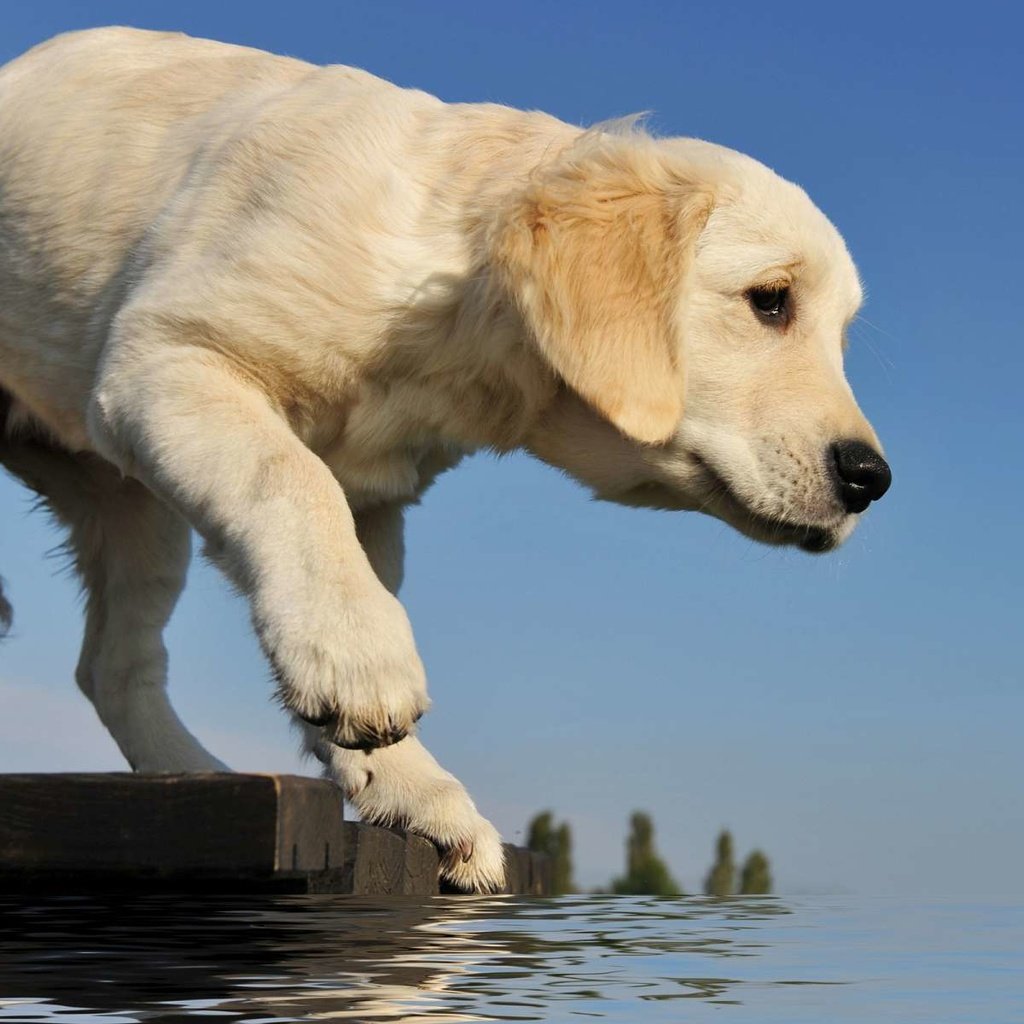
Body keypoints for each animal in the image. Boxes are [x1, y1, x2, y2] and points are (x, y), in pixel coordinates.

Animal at [0, 28, 888, 892]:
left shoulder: (374, 500)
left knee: (114, 665)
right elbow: (291, 478)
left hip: (132, 512)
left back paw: (197, 774)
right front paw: (355, 656)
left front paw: (406, 785)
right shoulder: (164, 359)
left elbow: (339, 547)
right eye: (769, 300)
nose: (871, 480)